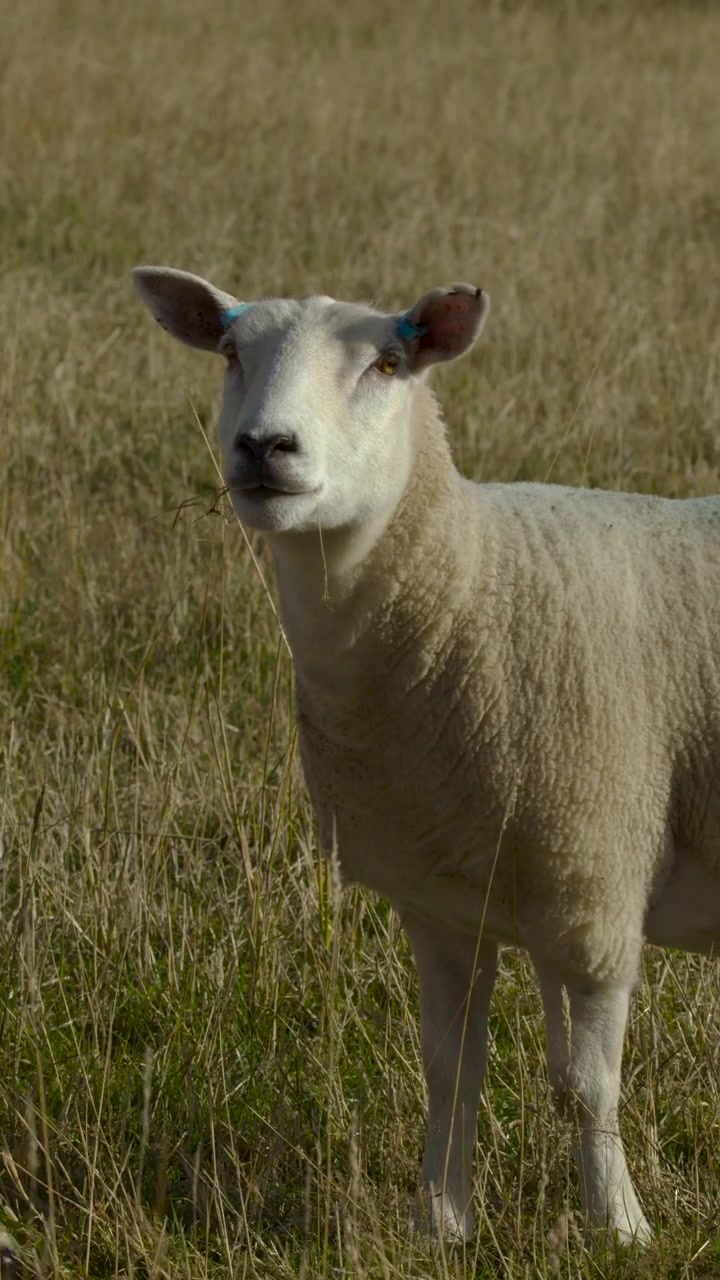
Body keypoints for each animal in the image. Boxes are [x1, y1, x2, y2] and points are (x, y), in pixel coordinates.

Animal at [132, 264, 720, 1248]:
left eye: (387, 363)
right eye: (230, 352)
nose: (265, 447)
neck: (473, 582)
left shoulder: (590, 883)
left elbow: (586, 1086)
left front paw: (620, 1227)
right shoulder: (442, 897)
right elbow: (451, 1066)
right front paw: (440, 1221)